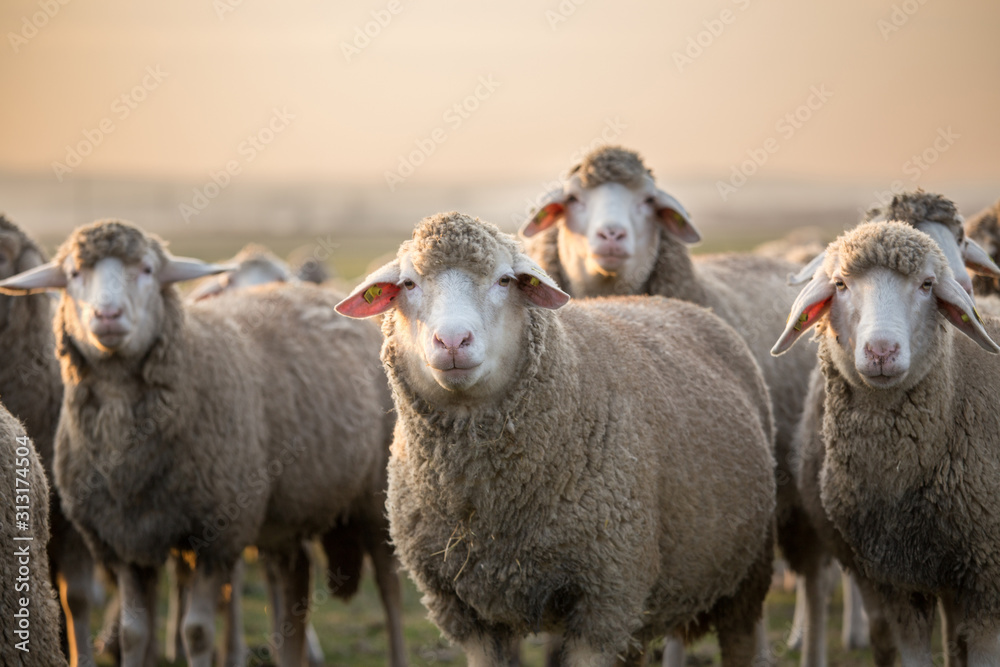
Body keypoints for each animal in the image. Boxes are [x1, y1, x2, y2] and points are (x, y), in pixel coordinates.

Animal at [336, 212, 777, 667]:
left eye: (504, 280)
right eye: (408, 284)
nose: (453, 341)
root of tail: (676, 304)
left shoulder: (604, 601)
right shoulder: (467, 613)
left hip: (744, 572)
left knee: (743, 638)